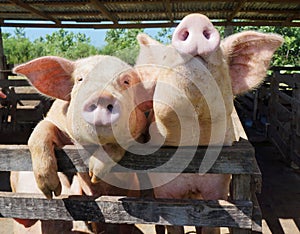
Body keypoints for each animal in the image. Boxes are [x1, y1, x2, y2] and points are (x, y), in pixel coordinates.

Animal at [10, 54, 148, 232]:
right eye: (80, 79)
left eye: (126, 81)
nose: (102, 97)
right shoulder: (55, 120)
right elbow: (41, 130)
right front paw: (51, 192)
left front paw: (94, 172)